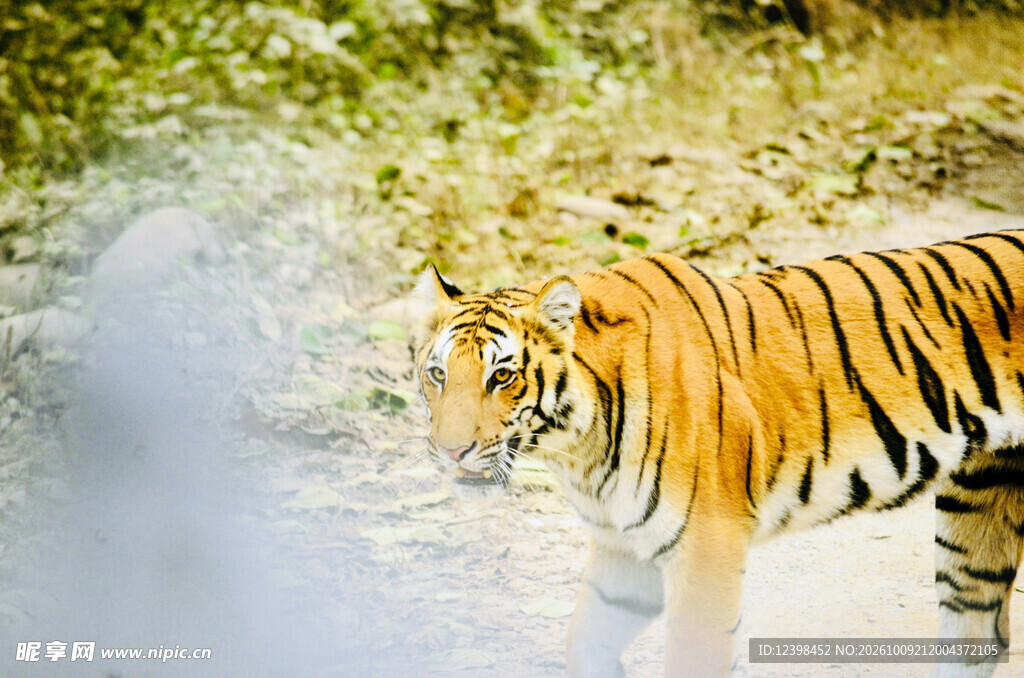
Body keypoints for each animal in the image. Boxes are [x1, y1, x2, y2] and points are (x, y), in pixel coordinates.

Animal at [412, 229, 1024, 678]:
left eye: (502, 375)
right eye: (438, 374)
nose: (450, 451)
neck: (576, 447)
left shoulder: (704, 545)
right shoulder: (624, 548)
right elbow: (584, 639)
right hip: (978, 506)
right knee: (977, 626)